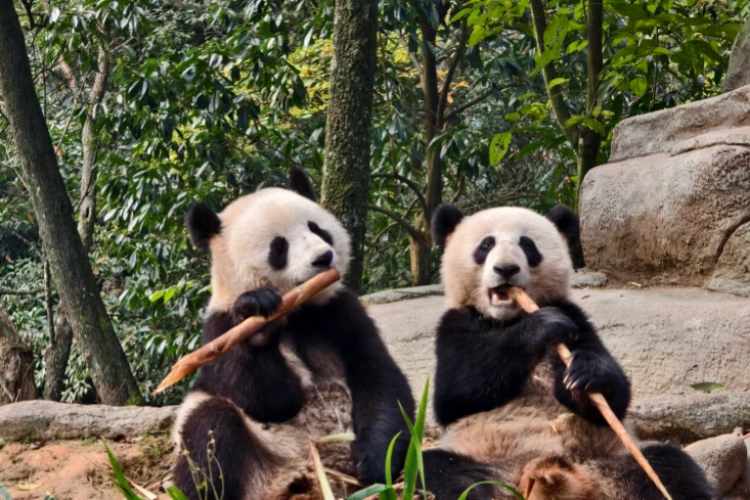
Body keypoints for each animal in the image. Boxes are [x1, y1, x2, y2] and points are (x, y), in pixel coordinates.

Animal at [171, 167, 415, 500]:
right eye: (279, 247)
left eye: (317, 228)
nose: (323, 258)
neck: (298, 306)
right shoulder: (220, 329)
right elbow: (270, 401)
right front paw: (258, 318)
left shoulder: (340, 310)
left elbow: (378, 375)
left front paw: (375, 460)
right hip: (262, 461)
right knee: (209, 428)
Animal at [420, 203, 715, 500]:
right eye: (486, 244)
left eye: (527, 245)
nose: (506, 269)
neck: (510, 317)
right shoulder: (456, 324)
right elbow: (456, 392)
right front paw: (541, 326)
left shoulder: (576, 318)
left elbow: (615, 398)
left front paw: (586, 375)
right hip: (481, 459)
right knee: (442, 471)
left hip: (615, 459)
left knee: (668, 465)